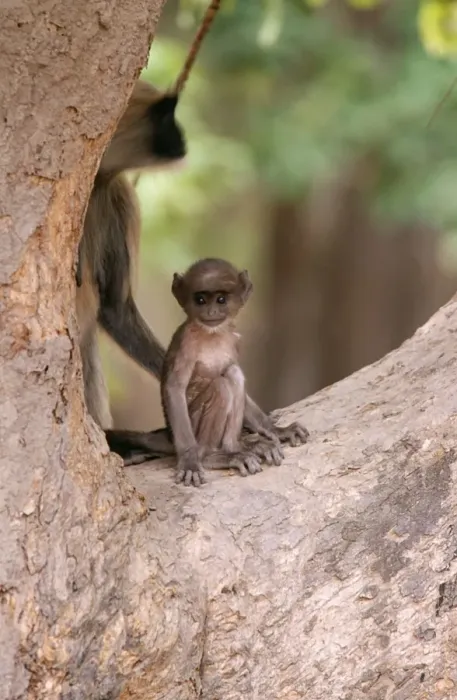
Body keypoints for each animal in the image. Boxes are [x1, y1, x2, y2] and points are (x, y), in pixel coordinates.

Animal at [161, 259, 309, 487]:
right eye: (200, 300)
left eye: (221, 299)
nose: (212, 312)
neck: (211, 334)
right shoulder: (186, 341)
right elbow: (175, 388)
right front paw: (189, 461)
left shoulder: (234, 339)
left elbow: (233, 370)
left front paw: (276, 430)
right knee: (220, 386)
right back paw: (211, 456)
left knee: (233, 373)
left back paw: (236, 448)